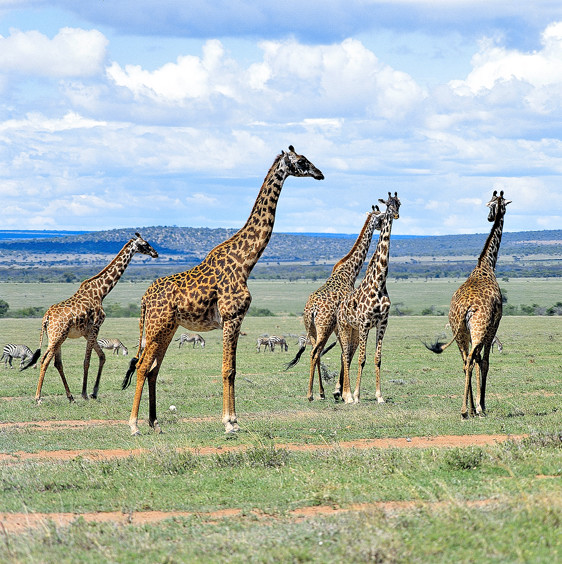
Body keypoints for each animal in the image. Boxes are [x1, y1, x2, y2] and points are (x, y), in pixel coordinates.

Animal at [22, 232, 158, 400]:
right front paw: (85, 393)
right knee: (44, 360)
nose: (155, 253)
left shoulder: (87, 332)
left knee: (57, 363)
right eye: (145, 244)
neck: (102, 292)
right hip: (57, 336)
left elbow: (102, 356)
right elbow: (87, 361)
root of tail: (46, 318)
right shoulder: (95, 327)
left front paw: (94, 392)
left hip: (56, 337)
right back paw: (38, 397)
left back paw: (70, 397)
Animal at [122, 147, 324, 436]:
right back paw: (134, 425)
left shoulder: (236, 321)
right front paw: (230, 423)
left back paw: (155, 423)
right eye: (301, 161)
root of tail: (144, 299)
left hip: (167, 328)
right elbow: (228, 369)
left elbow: (234, 369)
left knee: (153, 369)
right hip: (156, 325)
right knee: (141, 366)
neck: (246, 262)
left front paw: (234, 420)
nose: (320, 174)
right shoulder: (232, 317)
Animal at [284, 205, 380, 404]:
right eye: (380, 218)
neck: (349, 272)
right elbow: (347, 353)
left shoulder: (339, 326)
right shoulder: (348, 325)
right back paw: (311, 394)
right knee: (315, 353)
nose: (383, 225)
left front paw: (339, 391)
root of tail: (312, 309)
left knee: (317, 353)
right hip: (324, 327)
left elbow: (344, 353)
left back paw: (320, 392)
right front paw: (341, 391)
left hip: (313, 329)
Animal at [334, 192, 400, 404]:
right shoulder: (364, 323)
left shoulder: (382, 323)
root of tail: (340, 307)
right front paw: (356, 395)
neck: (379, 283)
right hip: (345, 327)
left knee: (346, 354)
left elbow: (377, 358)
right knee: (345, 355)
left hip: (354, 329)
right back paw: (346, 395)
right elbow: (361, 359)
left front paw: (379, 396)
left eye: (399, 203)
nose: (395, 215)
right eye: (388, 205)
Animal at [422, 192, 510, 416]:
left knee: (465, 361)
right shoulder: (494, 326)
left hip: (460, 331)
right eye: (502, 205)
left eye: (492, 204)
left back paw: (467, 410)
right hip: (478, 329)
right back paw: (465, 410)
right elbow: (484, 362)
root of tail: (464, 310)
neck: (486, 265)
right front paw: (481, 405)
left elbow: (477, 361)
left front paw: (476, 406)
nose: (490, 217)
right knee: (471, 359)